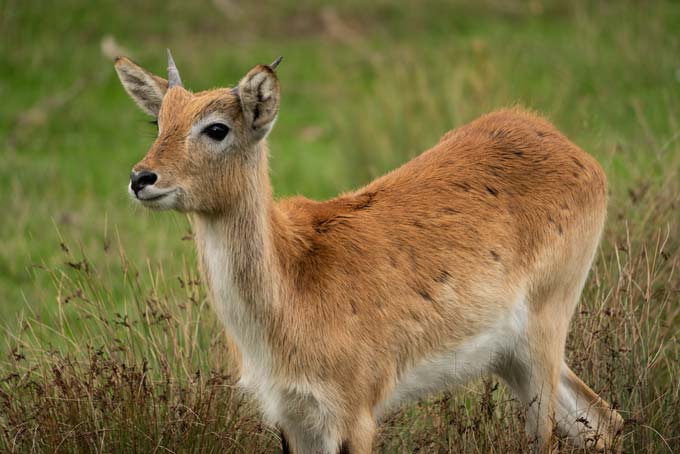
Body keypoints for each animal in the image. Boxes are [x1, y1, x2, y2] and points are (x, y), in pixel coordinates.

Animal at [114, 51, 624, 452]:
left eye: (216, 128)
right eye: (159, 121)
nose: (141, 177)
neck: (292, 289)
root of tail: (573, 150)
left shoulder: (354, 414)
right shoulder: (295, 419)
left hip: (544, 332)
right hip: (510, 355)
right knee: (604, 420)